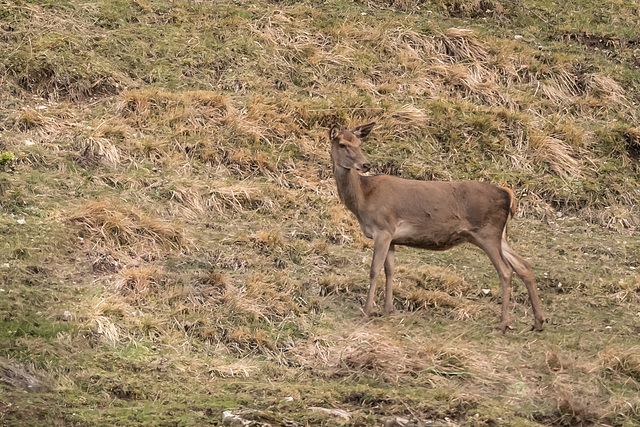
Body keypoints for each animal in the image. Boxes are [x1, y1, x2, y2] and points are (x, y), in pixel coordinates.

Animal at [330, 122, 544, 332]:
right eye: (342, 144)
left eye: (359, 143)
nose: (366, 164)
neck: (364, 199)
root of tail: (508, 194)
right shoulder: (391, 236)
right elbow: (390, 270)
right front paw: (386, 310)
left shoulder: (382, 229)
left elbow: (374, 270)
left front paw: (366, 312)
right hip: (500, 236)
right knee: (524, 265)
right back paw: (538, 322)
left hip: (488, 233)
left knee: (506, 270)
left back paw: (504, 323)